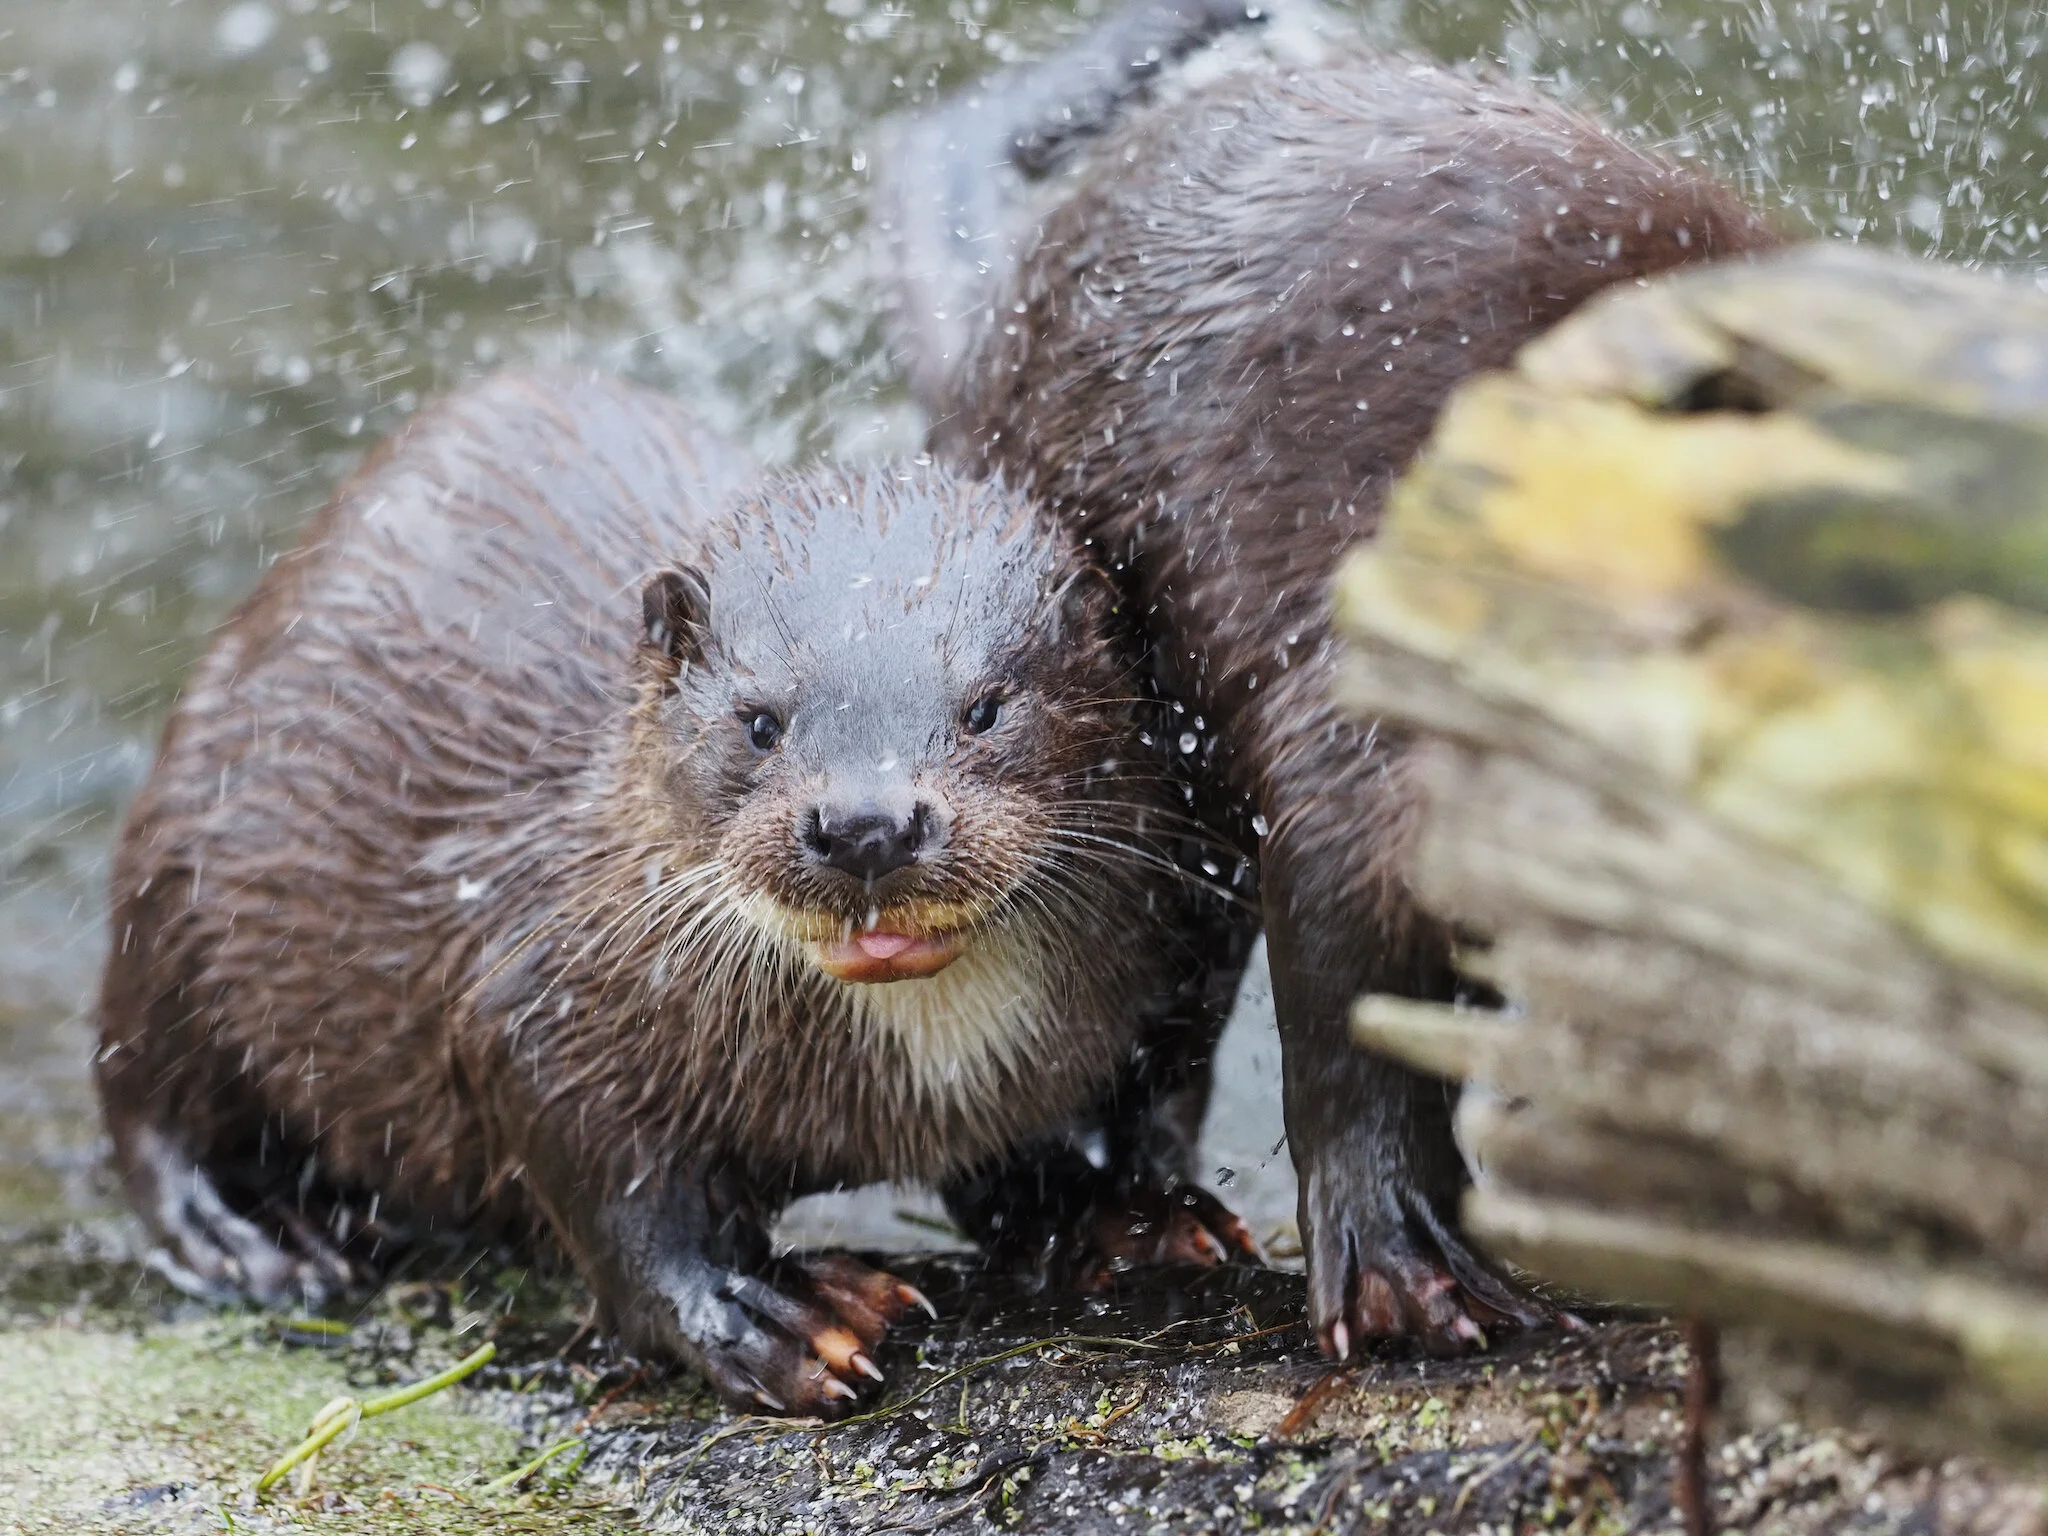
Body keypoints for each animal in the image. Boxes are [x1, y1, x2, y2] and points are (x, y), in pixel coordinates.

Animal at [95, 370, 1255, 1415]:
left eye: (984, 708)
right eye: (759, 721)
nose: (865, 824)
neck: (920, 1062)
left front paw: (1118, 1211)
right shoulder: (542, 985)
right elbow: (609, 1185)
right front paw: (762, 1314)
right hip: (180, 872)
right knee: (143, 1090)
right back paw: (252, 1234)